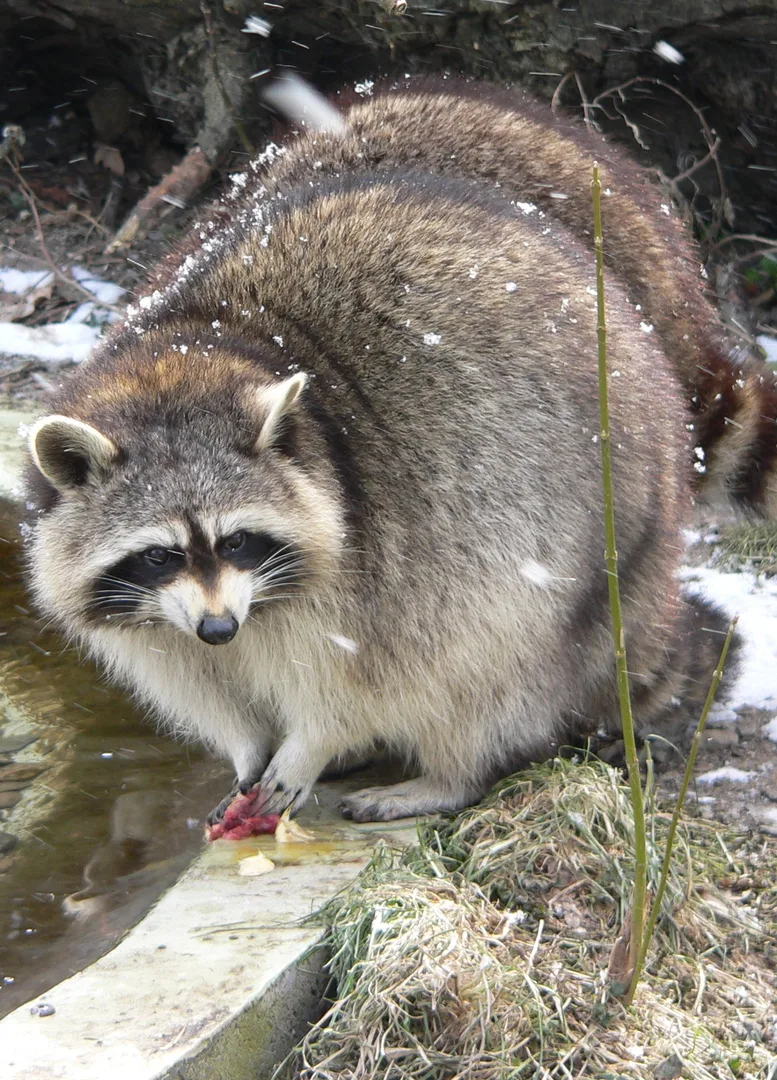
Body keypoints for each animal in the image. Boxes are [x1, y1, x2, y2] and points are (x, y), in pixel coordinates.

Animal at [25, 101, 718, 823]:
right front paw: (247, 747)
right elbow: (204, 686)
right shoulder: (155, 620)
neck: (189, 356)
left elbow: (367, 675)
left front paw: (313, 743)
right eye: (159, 555)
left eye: (236, 540)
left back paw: (450, 775)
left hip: (587, 539)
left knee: (489, 663)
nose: (218, 628)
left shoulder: (374, 548)